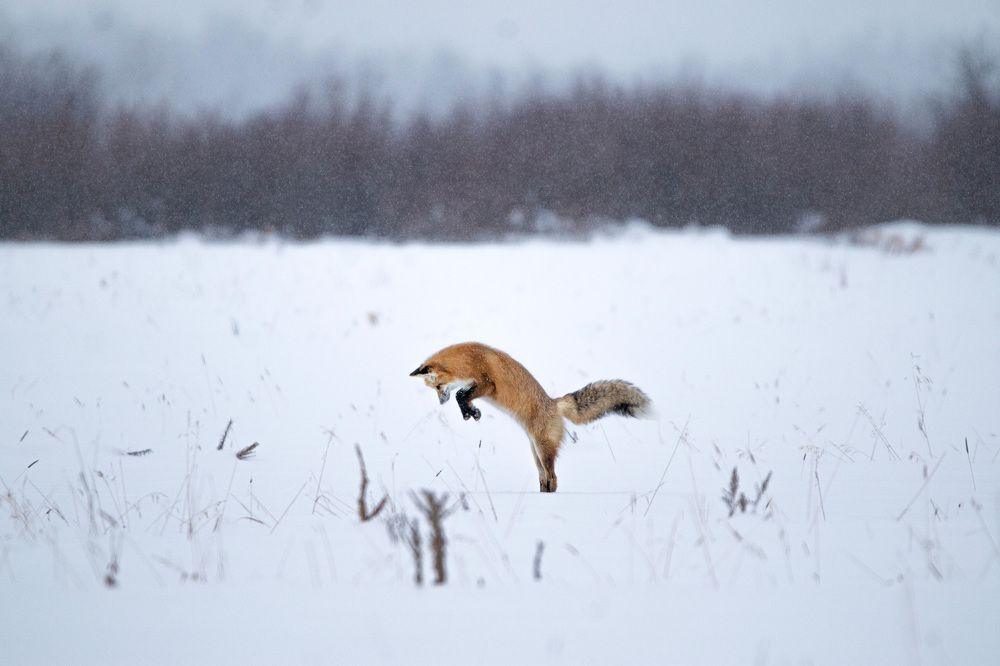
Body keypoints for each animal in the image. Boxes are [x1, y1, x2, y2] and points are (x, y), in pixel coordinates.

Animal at [410, 342, 651, 492]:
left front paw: (471, 412)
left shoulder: (487, 383)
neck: (467, 359)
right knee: (544, 478)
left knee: (553, 478)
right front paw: (472, 412)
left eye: (438, 386)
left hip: (543, 451)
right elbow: (463, 397)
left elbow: (460, 394)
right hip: (536, 455)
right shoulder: (474, 385)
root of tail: (554, 403)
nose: (441, 402)